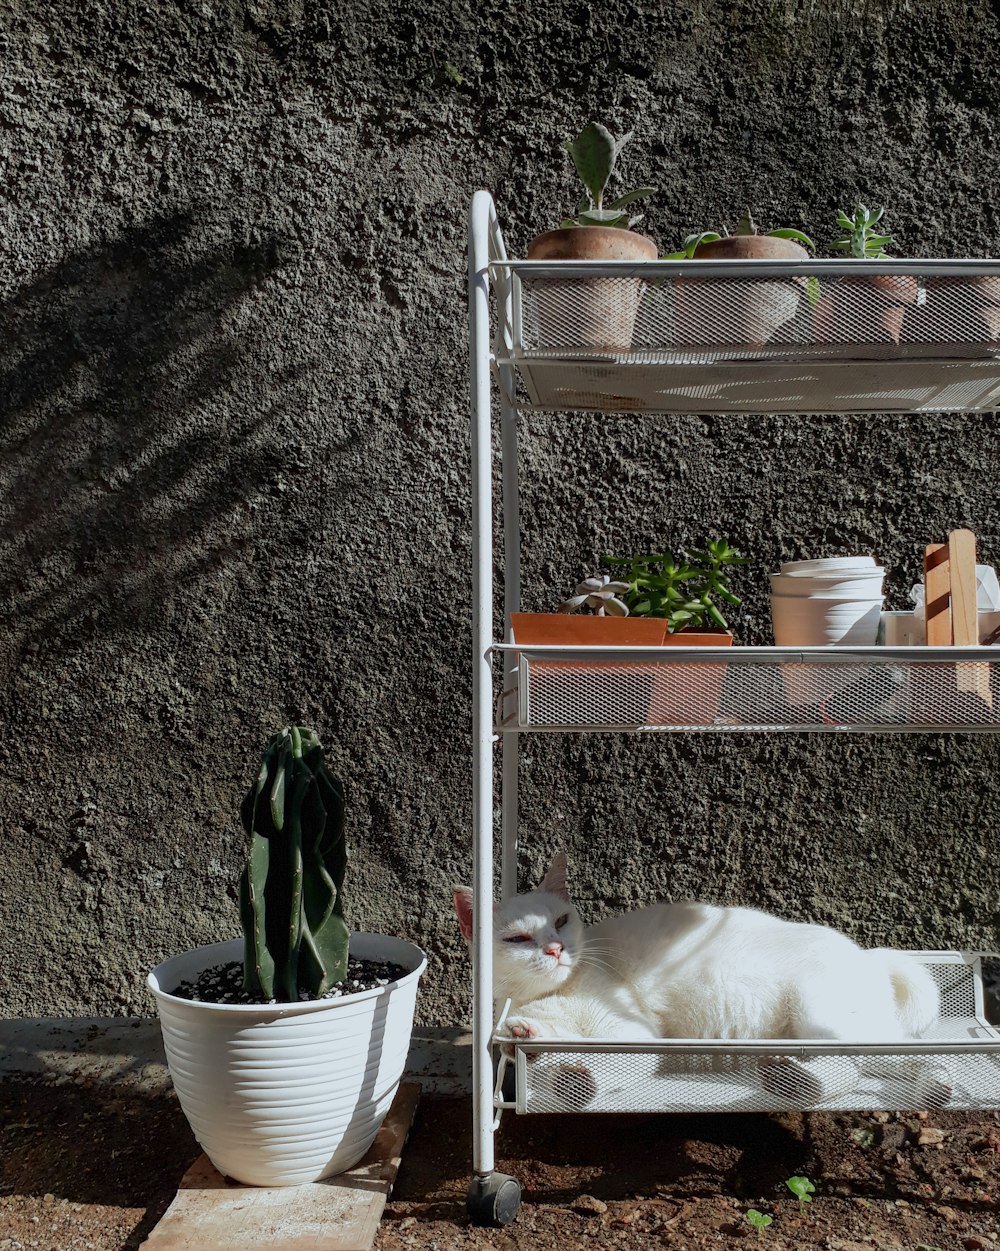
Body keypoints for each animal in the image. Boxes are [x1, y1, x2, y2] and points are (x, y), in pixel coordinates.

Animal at [453, 850, 946, 1105]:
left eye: (560, 921)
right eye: (518, 939)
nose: (555, 949)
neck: (557, 991)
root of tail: (867, 955)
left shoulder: (634, 1035)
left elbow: (598, 1060)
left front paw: (572, 1074)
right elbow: (546, 1047)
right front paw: (530, 1041)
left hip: (825, 1018)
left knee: (904, 1055)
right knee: (863, 1069)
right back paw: (799, 1081)